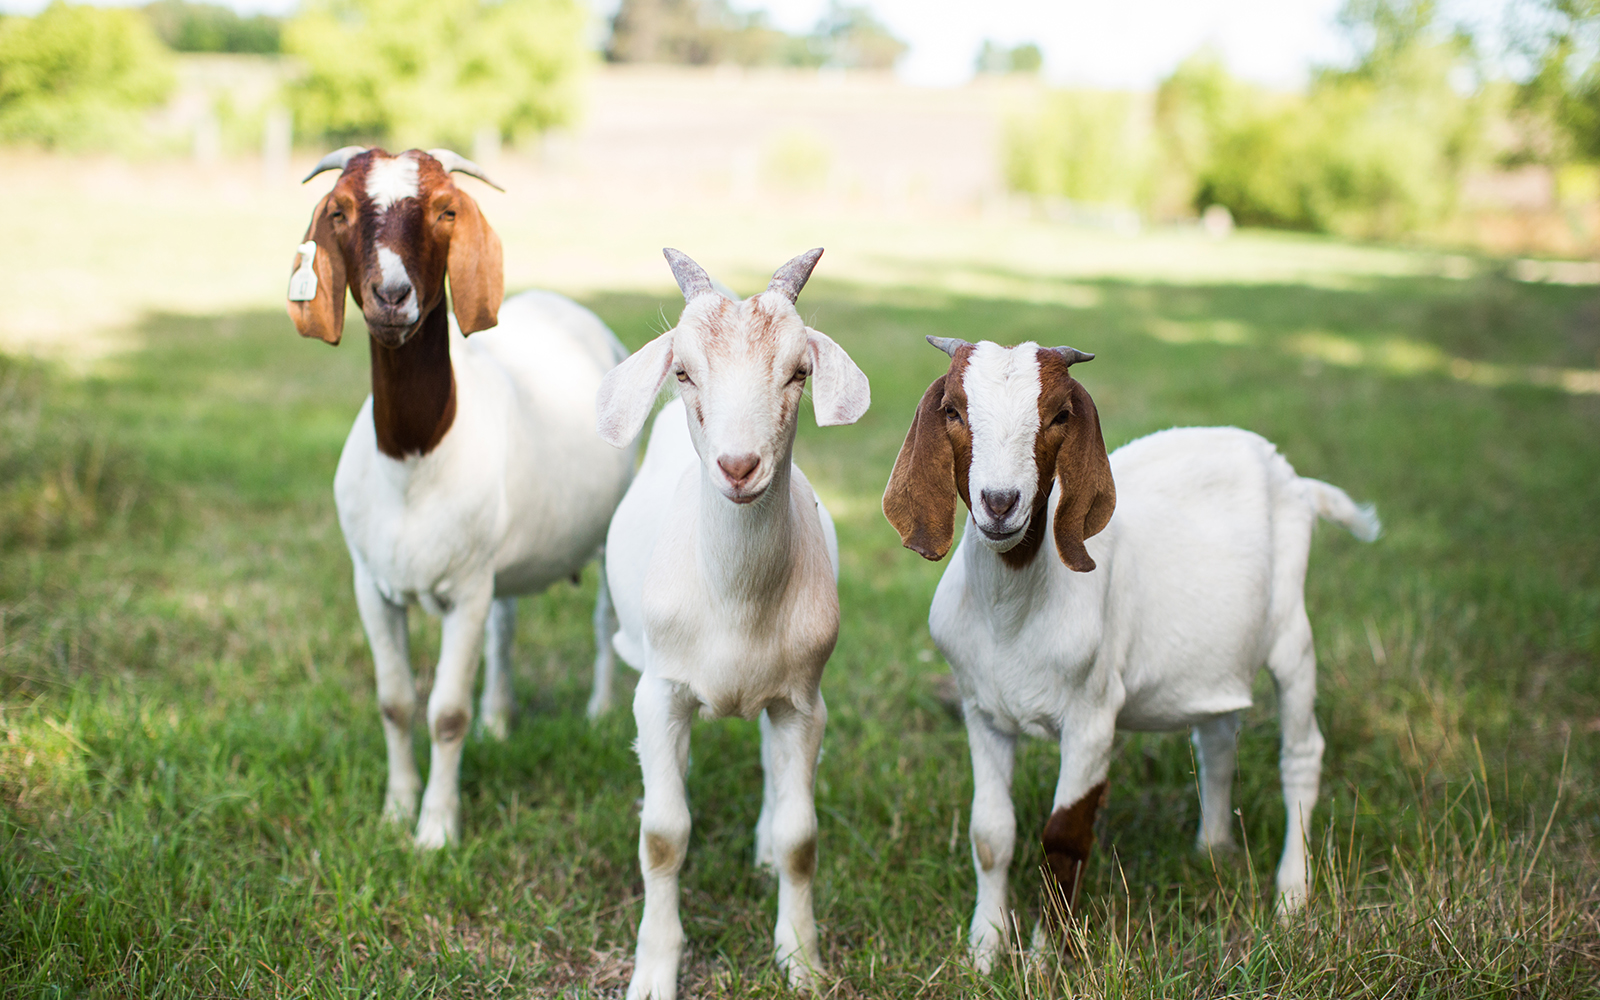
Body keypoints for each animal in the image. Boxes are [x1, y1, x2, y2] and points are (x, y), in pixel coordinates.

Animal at [288, 146, 634, 848]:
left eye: (447, 210)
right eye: (340, 211)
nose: (392, 296)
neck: (415, 461)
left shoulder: (465, 592)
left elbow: (446, 713)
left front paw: (437, 831)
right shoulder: (371, 583)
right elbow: (395, 702)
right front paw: (396, 811)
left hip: (608, 526)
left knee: (604, 621)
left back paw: (599, 713)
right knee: (506, 625)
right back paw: (500, 720)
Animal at [595, 248, 870, 1000]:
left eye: (800, 370)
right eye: (684, 371)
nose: (739, 466)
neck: (737, 603)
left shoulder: (804, 700)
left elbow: (802, 837)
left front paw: (802, 961)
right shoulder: (659, 690)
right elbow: (663, 834)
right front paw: (654, 972)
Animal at [882, 336, 1379, 969]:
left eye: (1059, 416)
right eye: (952, 411)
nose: (999, 502)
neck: (1012, 612)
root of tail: (1294, 479)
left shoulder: (1093, 718)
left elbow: (1064, 836)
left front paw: (1045, 959)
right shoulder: (981, 710)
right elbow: (991, 835)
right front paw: (983, 952)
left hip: (1292, 630)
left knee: (1301, 753)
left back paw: (1292, 895)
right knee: (1217, 740)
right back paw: (1212, 850)